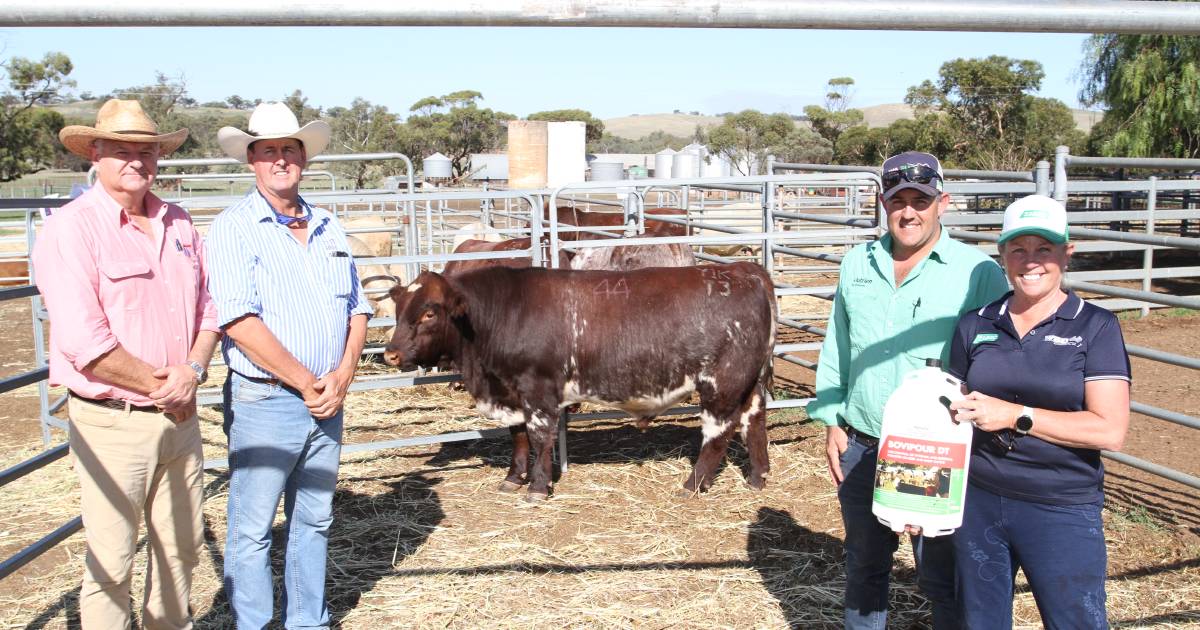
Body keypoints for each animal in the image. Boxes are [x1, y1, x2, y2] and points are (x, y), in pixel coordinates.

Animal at [384, 262, 777, 499]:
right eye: (399, 309)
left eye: (430, 313)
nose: (390, 354)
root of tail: (746, 270)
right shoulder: (511, 392)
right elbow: (518, 436)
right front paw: (513, 478)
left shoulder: (538, 390)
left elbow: (539, 438)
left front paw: (538, 487)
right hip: (750, 383)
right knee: (754, 421)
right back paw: (757, 478)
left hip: (721, 384)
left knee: (718, 434)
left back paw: (692, 485)